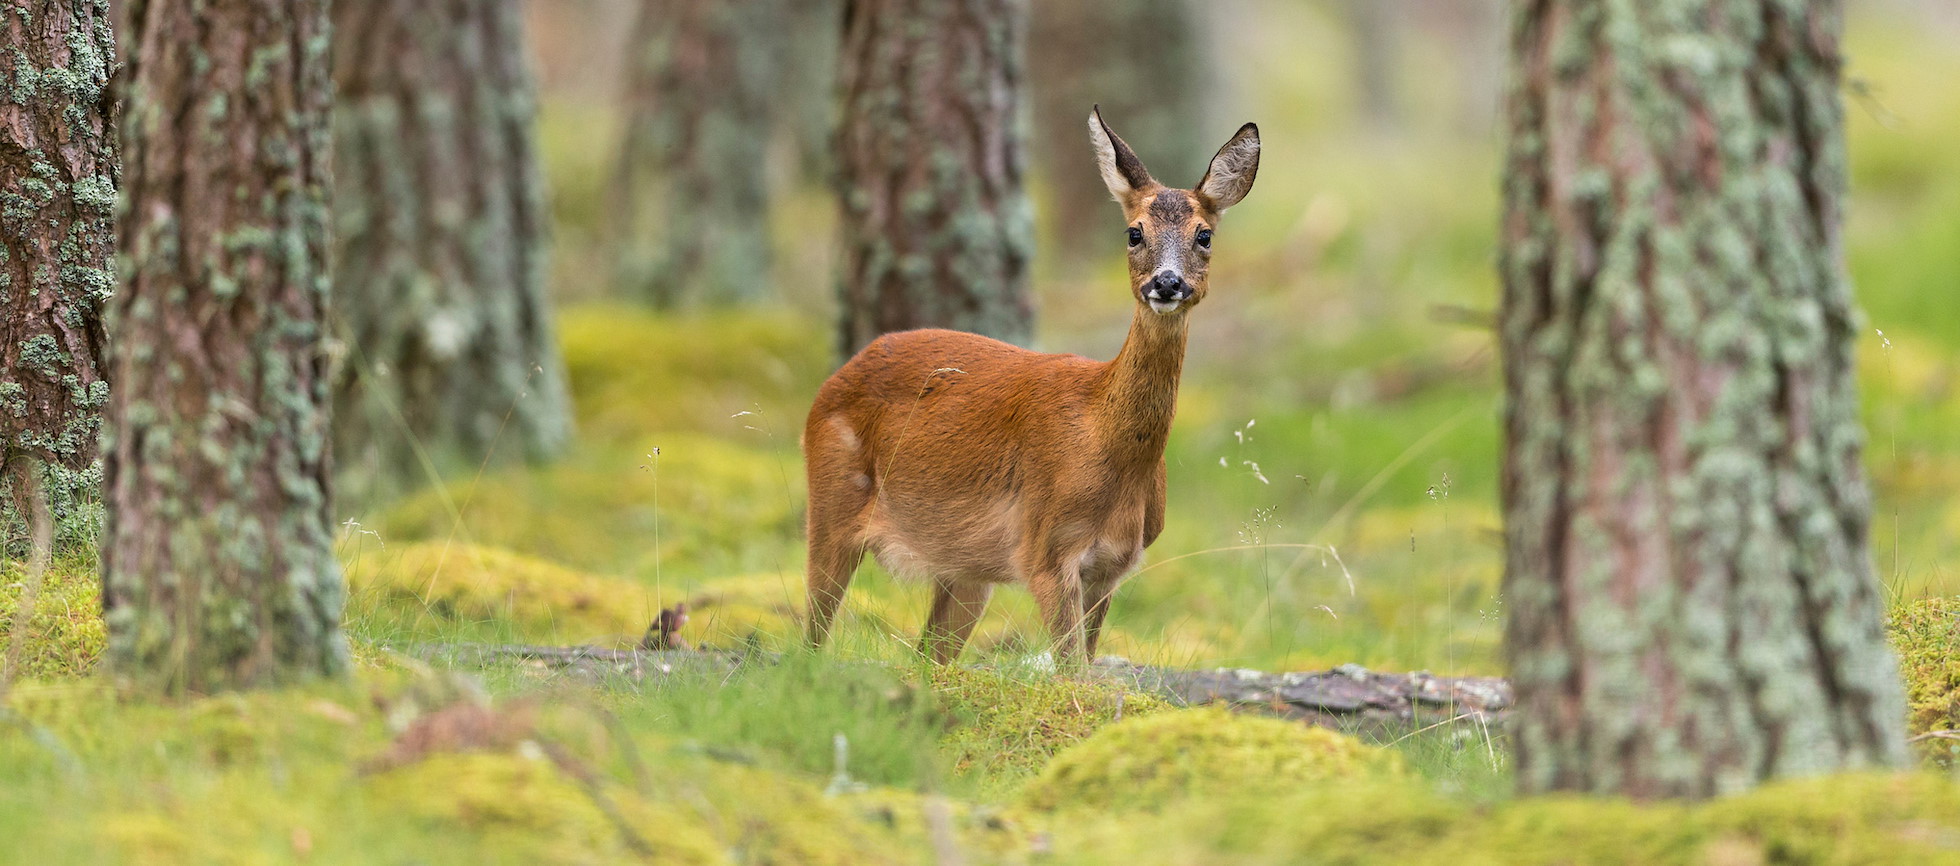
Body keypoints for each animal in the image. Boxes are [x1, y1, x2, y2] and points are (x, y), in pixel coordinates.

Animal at [802, 107, 1259, 667]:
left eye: (1204, 235)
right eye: (1134, 233)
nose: (1167, 283)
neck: (1104, 445)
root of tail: (838, 377)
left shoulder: (1111, 568)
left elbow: (1086, 663)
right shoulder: (1046, 549)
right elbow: (1071, 671)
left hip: (965, 571)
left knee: (927, 654)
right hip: (831, 502)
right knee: (811, 635)